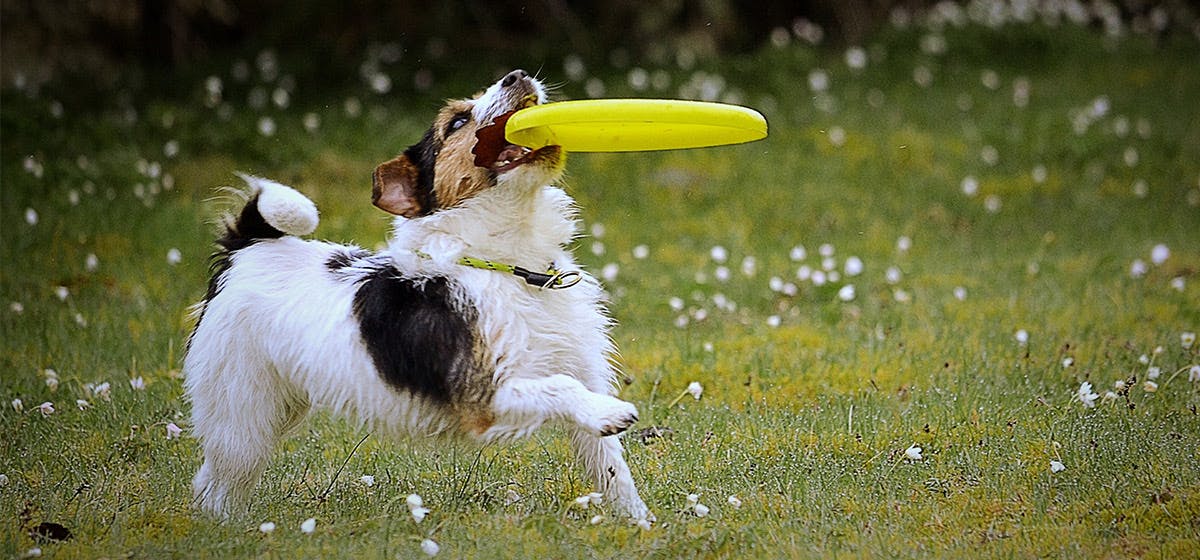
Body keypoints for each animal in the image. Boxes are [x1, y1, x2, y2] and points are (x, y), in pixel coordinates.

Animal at [184, 70, 657, 522]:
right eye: (458, 122)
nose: (518, 75)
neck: (510, 266)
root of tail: (246, 246)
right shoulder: (481, 398)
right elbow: (560, 387)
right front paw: (611, 414)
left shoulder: (582, 372)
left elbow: (611, 469)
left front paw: (639, 524)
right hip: (243, 411)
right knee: (217, 481)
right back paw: (226, 528)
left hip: (277, 408)